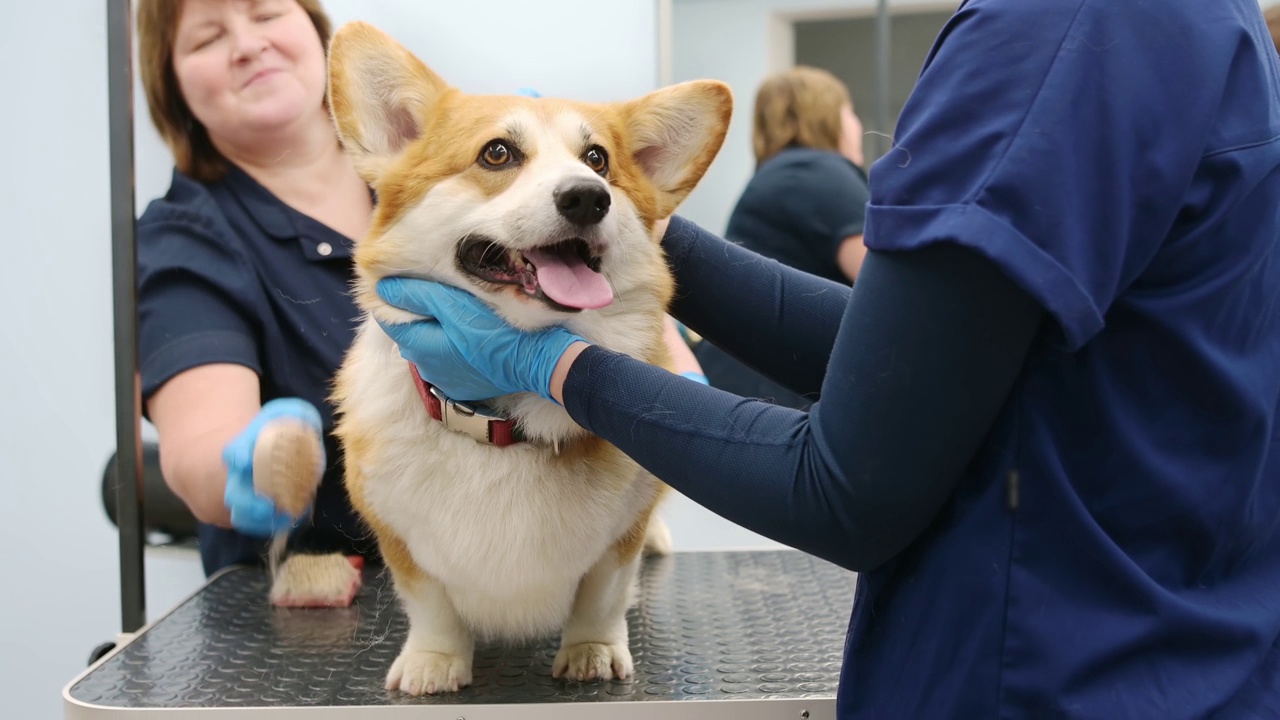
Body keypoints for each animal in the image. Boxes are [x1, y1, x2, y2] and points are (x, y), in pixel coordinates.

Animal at [317, 23, 732, 696]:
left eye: (598, 161)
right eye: (497, 154)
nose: (589, 198)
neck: (502, 418)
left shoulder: (618, 540)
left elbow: (601, 595)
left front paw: (592, 651)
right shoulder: (398, 535)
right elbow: (429, 603)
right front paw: (434, 661)